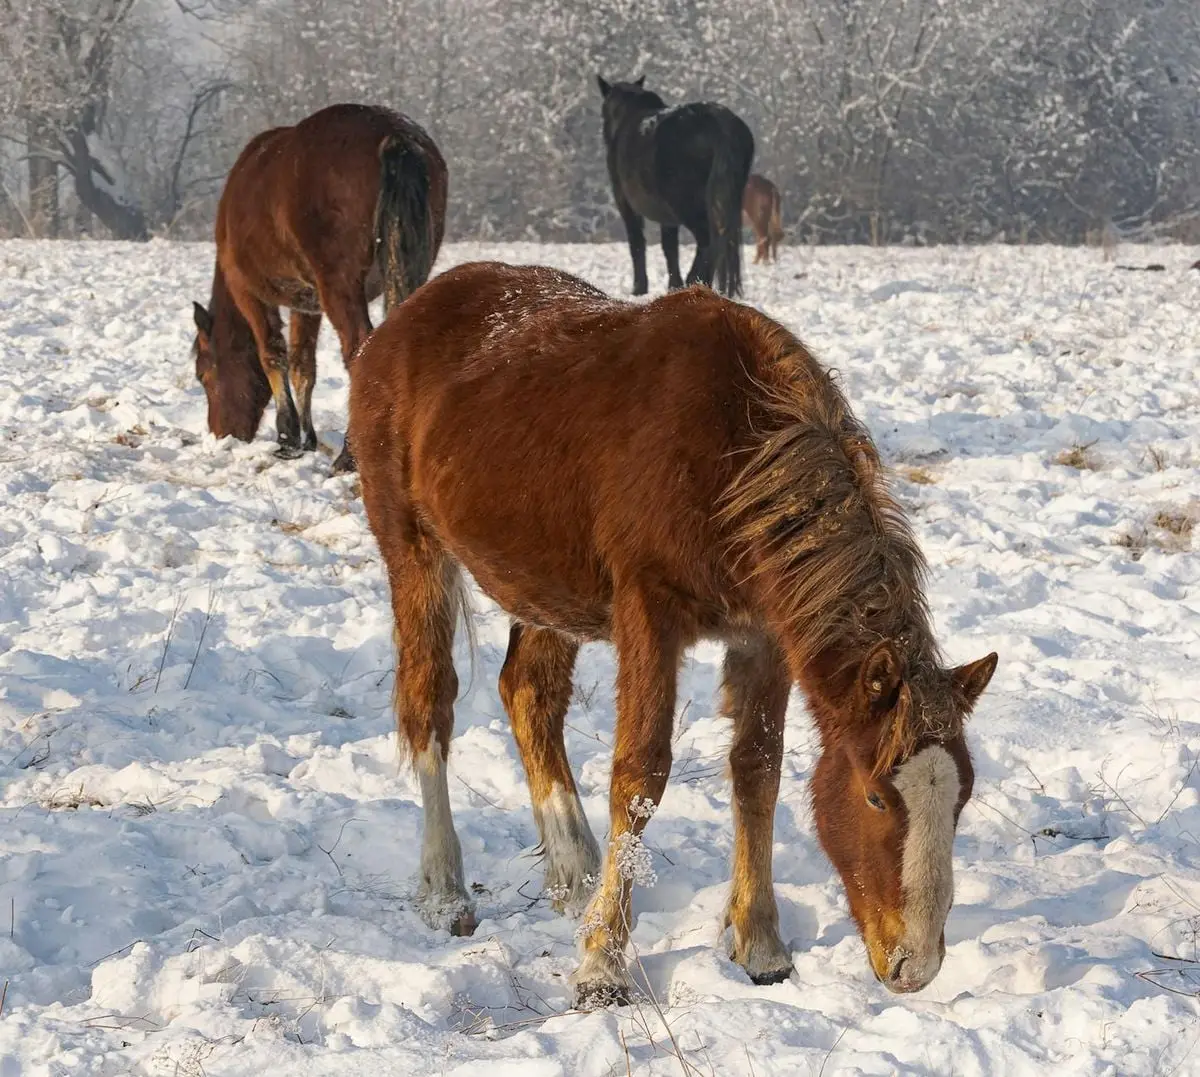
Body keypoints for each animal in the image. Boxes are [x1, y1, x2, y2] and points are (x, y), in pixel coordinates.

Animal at [191, 103, 447, 473]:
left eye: (203, 374)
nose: (222, 435)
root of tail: (396, 136)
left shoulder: (249, 293)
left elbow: (273, 354)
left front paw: (287, 438)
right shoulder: (306, 302)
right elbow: (303, 365)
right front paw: (307, 438)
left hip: (339, 286)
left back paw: (349, 455)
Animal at [349, 261, 997, 1009]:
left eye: (963, 795)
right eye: (874, 795)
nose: (914, 966)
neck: (732, 452)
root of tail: (401, 319)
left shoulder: (764, 633)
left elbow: (758, 768)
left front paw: (760, 943)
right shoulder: (648, 612)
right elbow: (640, 773)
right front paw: (602, 964)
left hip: (544, 589)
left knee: (529, 695)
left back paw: (576, 872)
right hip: (414, 551)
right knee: (430, 701)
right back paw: (446, 890)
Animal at [598, 77, 754, 298]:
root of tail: (717, 123)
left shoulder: (625, 203)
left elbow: (637, 242)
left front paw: (639, 288)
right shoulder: (667, 216)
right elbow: (670, 248)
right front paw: (673, 285)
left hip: (687, 205)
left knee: (708, 241)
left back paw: (695, 281)